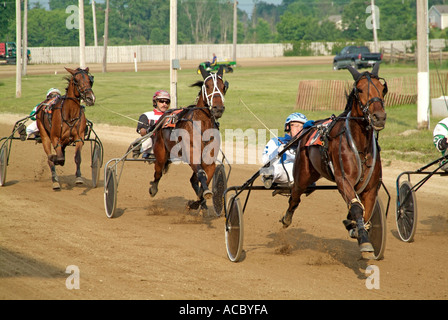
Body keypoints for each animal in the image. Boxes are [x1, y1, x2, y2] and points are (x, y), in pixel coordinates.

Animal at [150, 65, 229, 212]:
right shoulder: (192, 154)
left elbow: (205, 178)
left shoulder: (208, 160)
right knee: (158, 171)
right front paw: (201, 197)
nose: (218, 108)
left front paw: (198, 201)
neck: (202, 127)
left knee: (192, 179)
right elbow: (201, 174)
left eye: (223, 86)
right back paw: (153, 188)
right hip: (160, 152)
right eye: (207, 85)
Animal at [282, 63, 386, 258]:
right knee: (295, 196)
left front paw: (358, 229)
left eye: (383, 89)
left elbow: (366, 212)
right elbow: (356, 207)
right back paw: (286, 218)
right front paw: (364, 241)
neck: (360, 146)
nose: (379, 117)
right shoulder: (343, 180)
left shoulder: (370, 187)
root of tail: (310, 127)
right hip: (303, 174)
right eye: (360, 89)